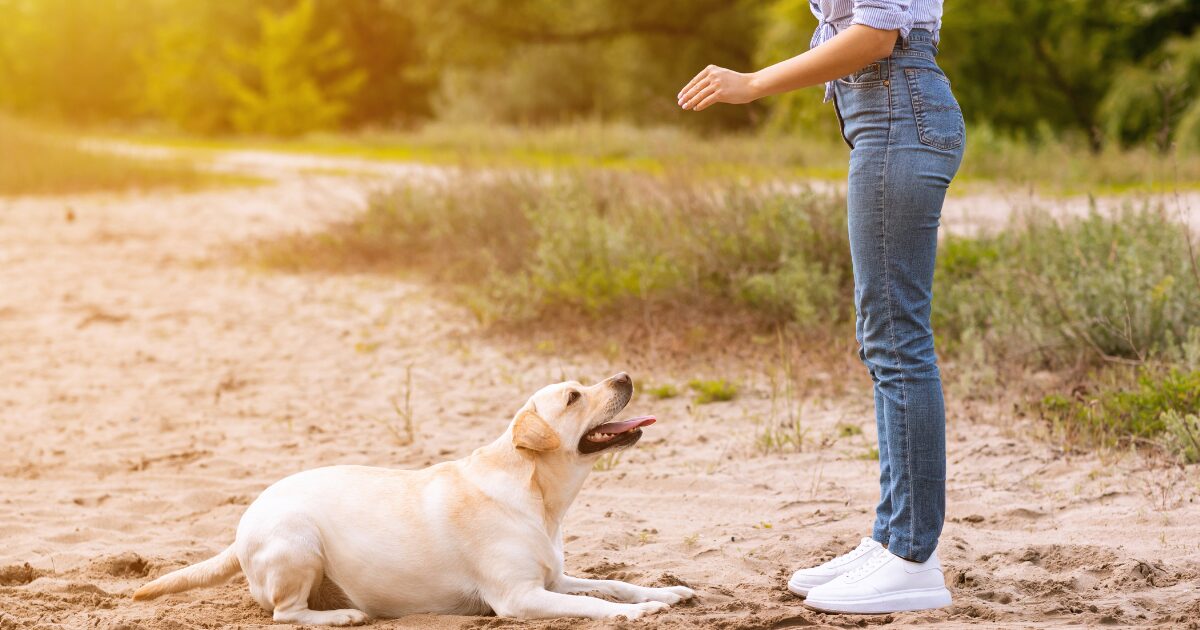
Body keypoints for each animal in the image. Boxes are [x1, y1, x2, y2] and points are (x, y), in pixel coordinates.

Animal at [131, 372, 696, 619]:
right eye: (575, 396)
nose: (624, 374)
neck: (538, 495)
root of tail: (245, 522)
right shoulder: (519, 597)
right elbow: (594, 605)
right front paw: (636, 615)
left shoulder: (554, 578)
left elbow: (612, 584)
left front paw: (663, 594)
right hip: (298, 542)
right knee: (286, 615)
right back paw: (344, 616)